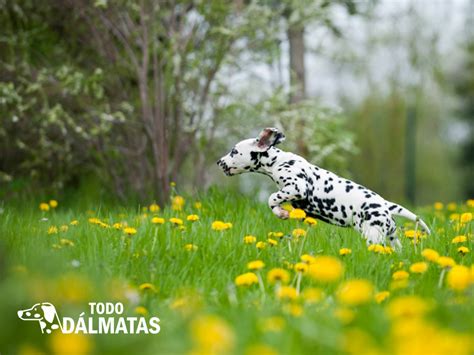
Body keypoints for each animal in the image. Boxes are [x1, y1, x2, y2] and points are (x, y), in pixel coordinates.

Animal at [217, 127, 432, 248]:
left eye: (234, 151)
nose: (219, 162)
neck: (279, 161)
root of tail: (386, 206)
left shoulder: (297, 187)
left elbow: (272, 198)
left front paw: (281, 213)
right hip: (392, 238)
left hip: (372, 234)